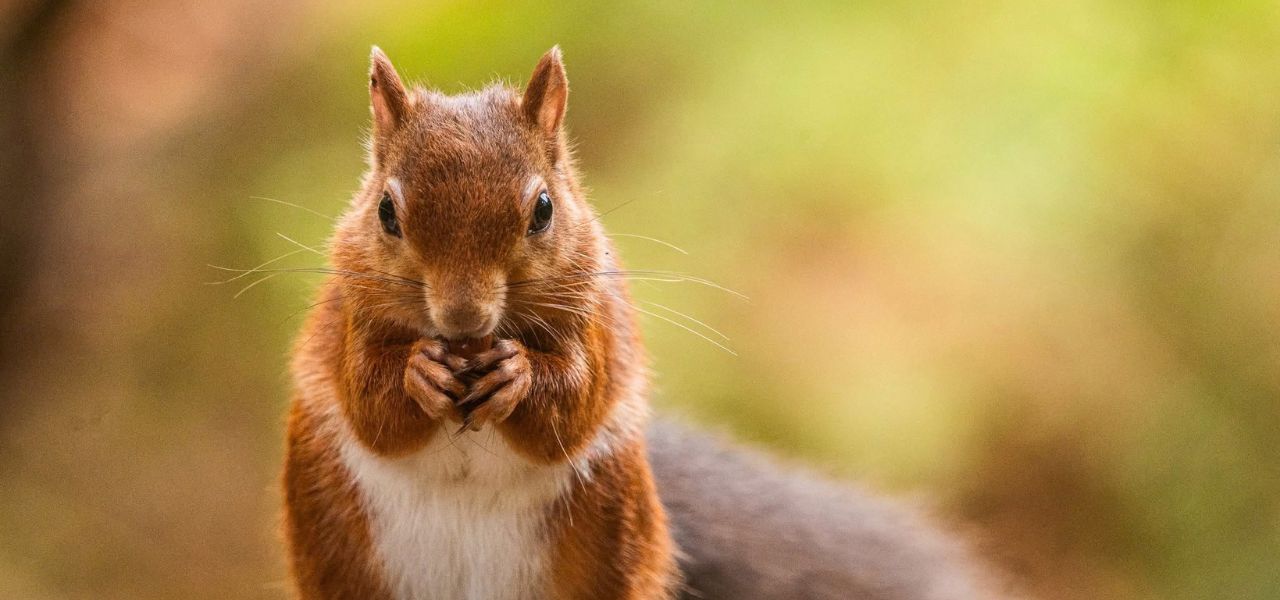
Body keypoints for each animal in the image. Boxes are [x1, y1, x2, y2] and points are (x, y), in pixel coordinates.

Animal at [283, 46, 1002, 600]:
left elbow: (574, 403)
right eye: (385, 212)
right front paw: (418, 373)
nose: (463, 319)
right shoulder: (349, 315)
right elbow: (370, 403)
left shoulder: (598, 320)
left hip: (609, 529)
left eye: (543, 209)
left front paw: (519, 375)